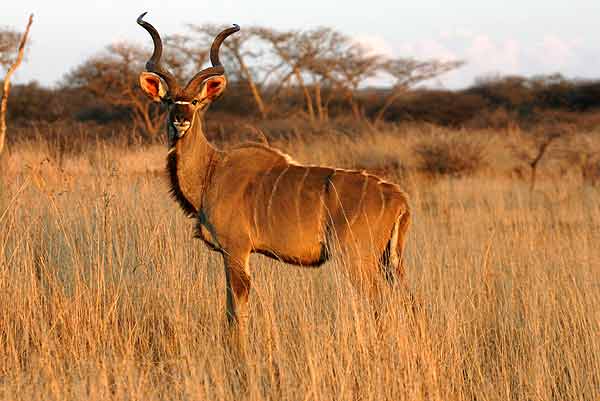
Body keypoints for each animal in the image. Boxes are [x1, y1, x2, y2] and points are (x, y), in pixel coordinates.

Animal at [135, 11, 410, 344]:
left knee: (379, 303)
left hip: (357, 259)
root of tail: (399, 198)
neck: (211, 171)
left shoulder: (236, 250)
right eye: (168, 101)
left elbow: (236, 311)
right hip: (389, 263)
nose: (180, 120)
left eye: (196, 102)